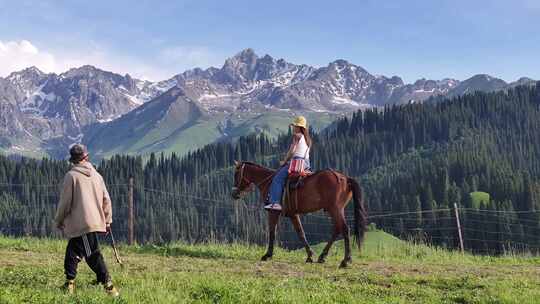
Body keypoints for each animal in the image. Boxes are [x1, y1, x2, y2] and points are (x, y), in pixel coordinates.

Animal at [230, 160, 370, 268]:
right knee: (337, 229)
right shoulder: (293, 214)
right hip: (334, 210)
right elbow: (301, 233)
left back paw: (345, 260)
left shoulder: (273, 212)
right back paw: (323, 256)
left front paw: (267, 255)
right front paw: (310, 256)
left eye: (236, 174)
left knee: (344, 229)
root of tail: (345, 178)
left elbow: (272, 232)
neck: (268, 182)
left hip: (335, 209)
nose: (234, 194)